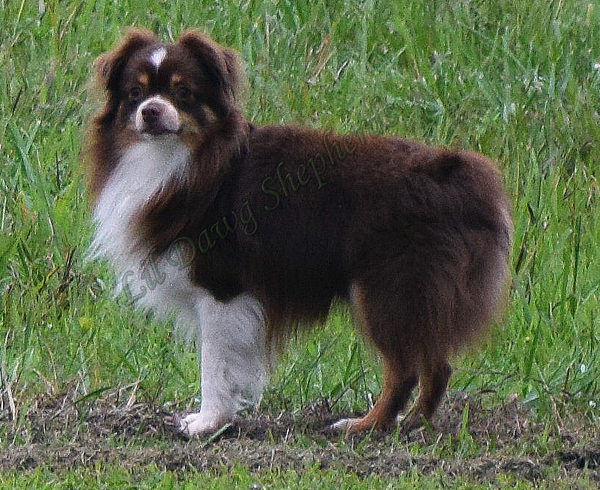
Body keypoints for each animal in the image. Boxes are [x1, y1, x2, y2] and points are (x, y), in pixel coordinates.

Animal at [86, 29, 512, 436]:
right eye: (135, 93)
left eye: (183, 92)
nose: (150, 111)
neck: (179, 157)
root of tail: (457, 174)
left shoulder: (221, 289)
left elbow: (214, 363)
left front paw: (209, 422)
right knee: (437, 366)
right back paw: (411, 425)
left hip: (387, 290)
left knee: (407, 369)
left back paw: (366, 426)